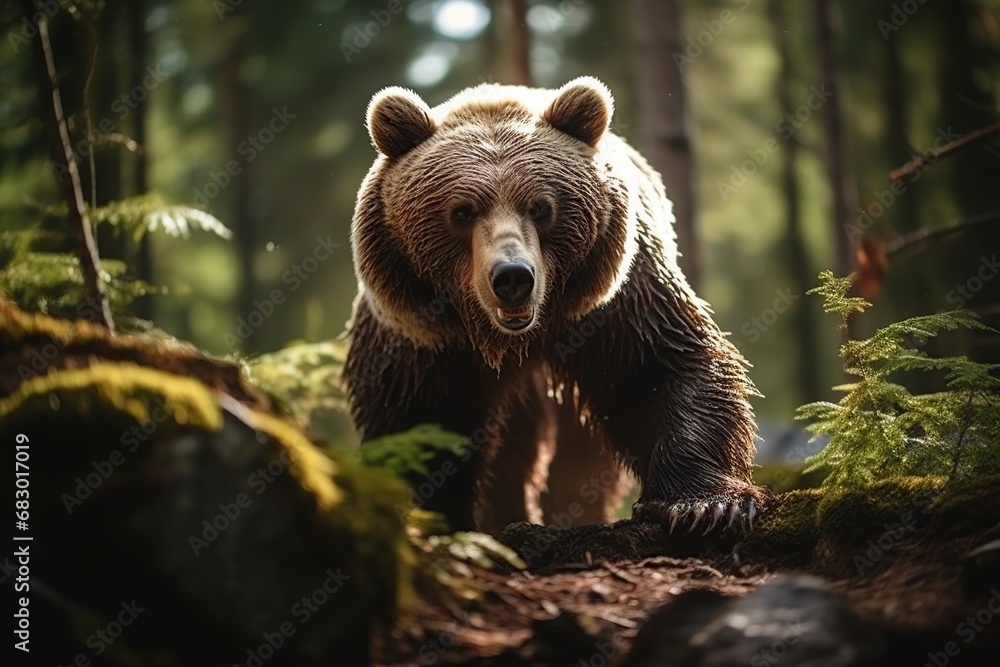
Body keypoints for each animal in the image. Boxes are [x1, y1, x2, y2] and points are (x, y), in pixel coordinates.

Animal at [344, 76, 767, 534]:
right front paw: (441, 519)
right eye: (462, 211)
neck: (516, 338)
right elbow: (419, 417)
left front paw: (701, 505)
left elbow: (658, 367)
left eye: (541, 206)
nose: (513, 277)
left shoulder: (614, 300)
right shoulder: (419, 331)